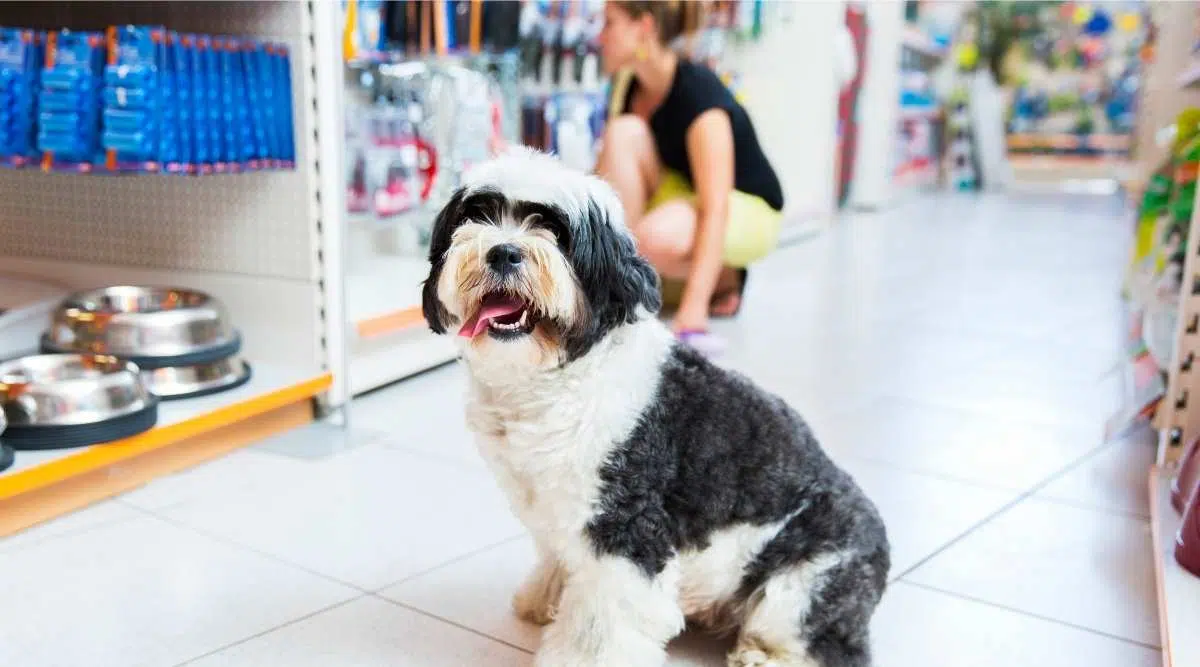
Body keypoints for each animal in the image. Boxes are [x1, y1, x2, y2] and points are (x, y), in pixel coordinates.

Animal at [424, 148, 892, 662]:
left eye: (556, 231)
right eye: (477, 215)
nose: (504, 251)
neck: (557, 379)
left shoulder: (625, 526)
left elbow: (605, 620)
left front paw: (581, 656)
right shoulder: (553, 510)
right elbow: (558, 557)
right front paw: (543, 596)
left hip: (807, 583)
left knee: (831, 647)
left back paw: (760, 655)